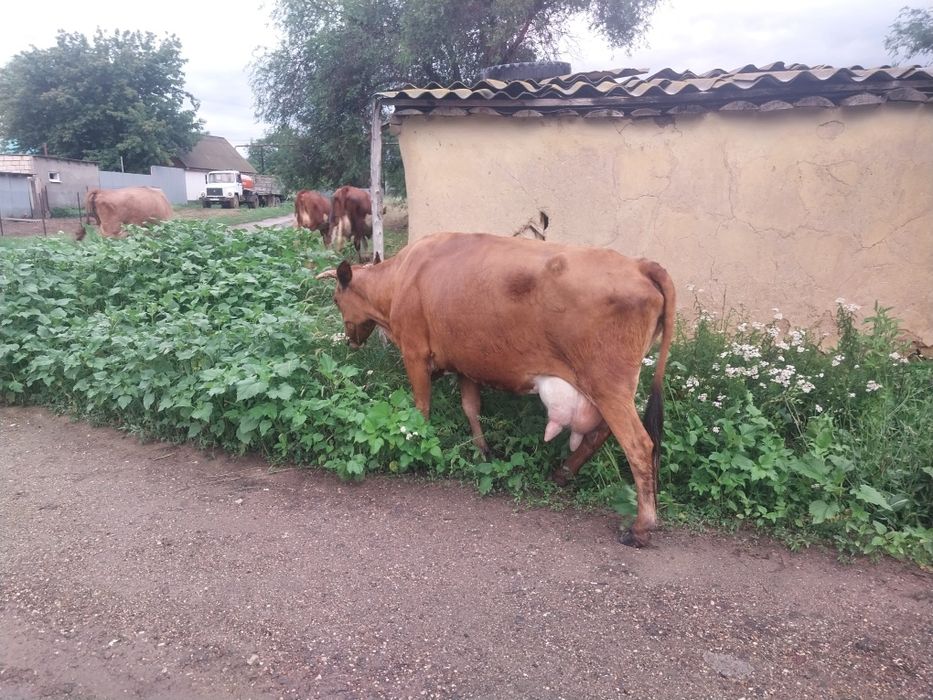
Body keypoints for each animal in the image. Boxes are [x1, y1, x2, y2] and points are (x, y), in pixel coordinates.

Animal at [316, 232, 675, 547]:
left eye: (335, 298)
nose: (349, 340)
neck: (401, 278)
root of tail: (640, 265)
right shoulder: (466, 362)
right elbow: (471, 407)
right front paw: (484, 451)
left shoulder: (415, 352)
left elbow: (421, 408)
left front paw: (418, 447)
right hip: (609, 388)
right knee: (601, 433)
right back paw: (561, 474)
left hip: (608, 383)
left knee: (639, 445)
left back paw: (641, 528)